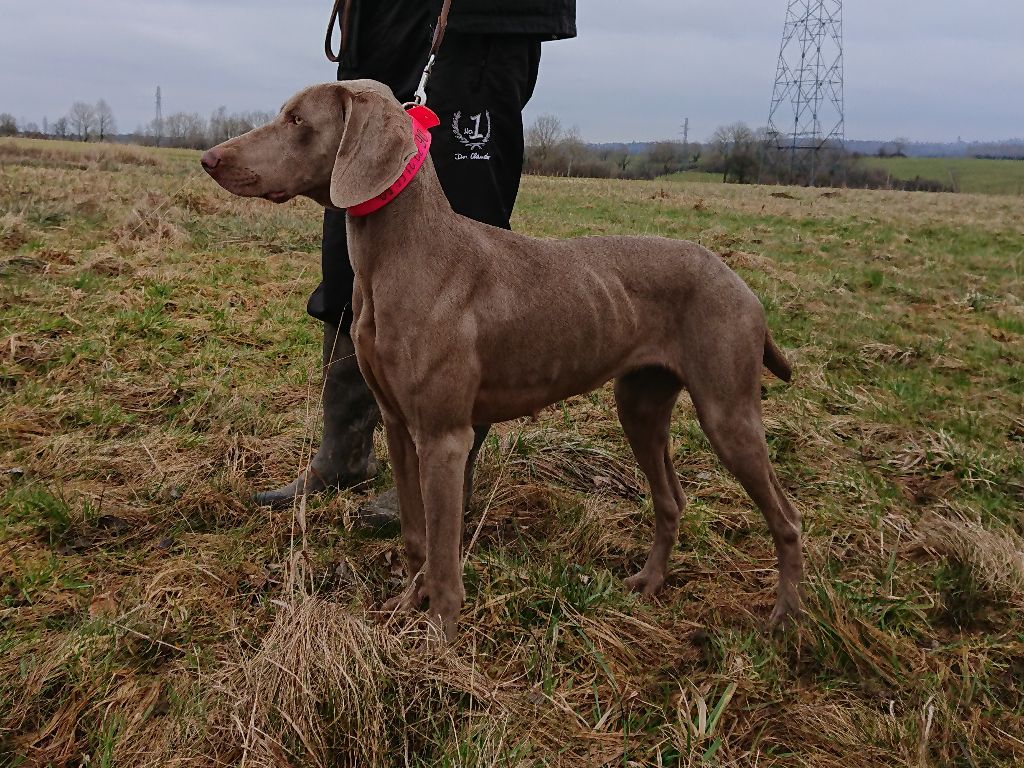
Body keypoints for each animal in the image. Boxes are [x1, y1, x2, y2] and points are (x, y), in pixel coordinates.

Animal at [199, 81, 802, 638]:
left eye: (297, 119)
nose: (209, 159)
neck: (398, 257)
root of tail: (740, 283)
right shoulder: (397, 424)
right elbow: (416, 535)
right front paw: (405, 606)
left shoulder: (444, 436)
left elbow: (444, 550)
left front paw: (439, 639)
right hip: (640, 405)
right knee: (671, 499)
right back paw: (650, 582)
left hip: (727, 411)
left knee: (788, 516)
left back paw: (786, 618)